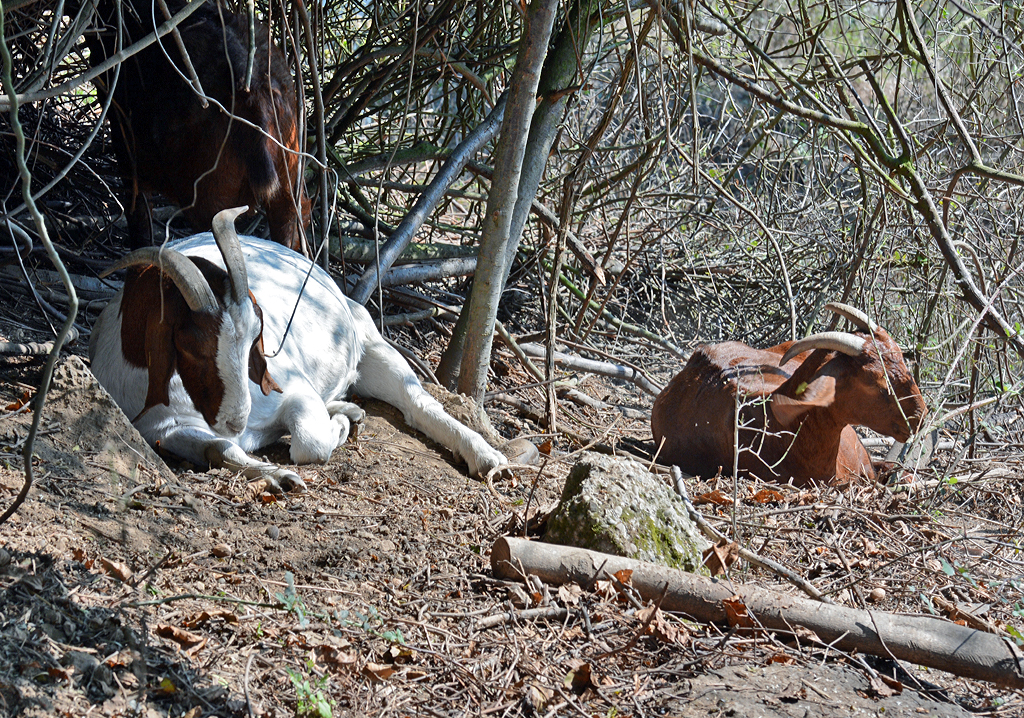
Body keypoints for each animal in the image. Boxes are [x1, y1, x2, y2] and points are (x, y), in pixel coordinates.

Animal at [85, 0, 309, 251]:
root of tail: (253, 87)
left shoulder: (125, 139)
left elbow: (139, 218)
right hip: (289, 178)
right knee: (294, 221)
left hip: (208, 193)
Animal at [90, 206, 505, 487]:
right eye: (192, 347)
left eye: (255, 338)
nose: (236, 420)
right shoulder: (165, 430)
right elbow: (219, 449)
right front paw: (279, 475)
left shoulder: (295, 392)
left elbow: (311, 443)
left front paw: (339, 428)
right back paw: (347, 408)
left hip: (371, 347)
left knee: (416, 402)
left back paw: (487, 457)